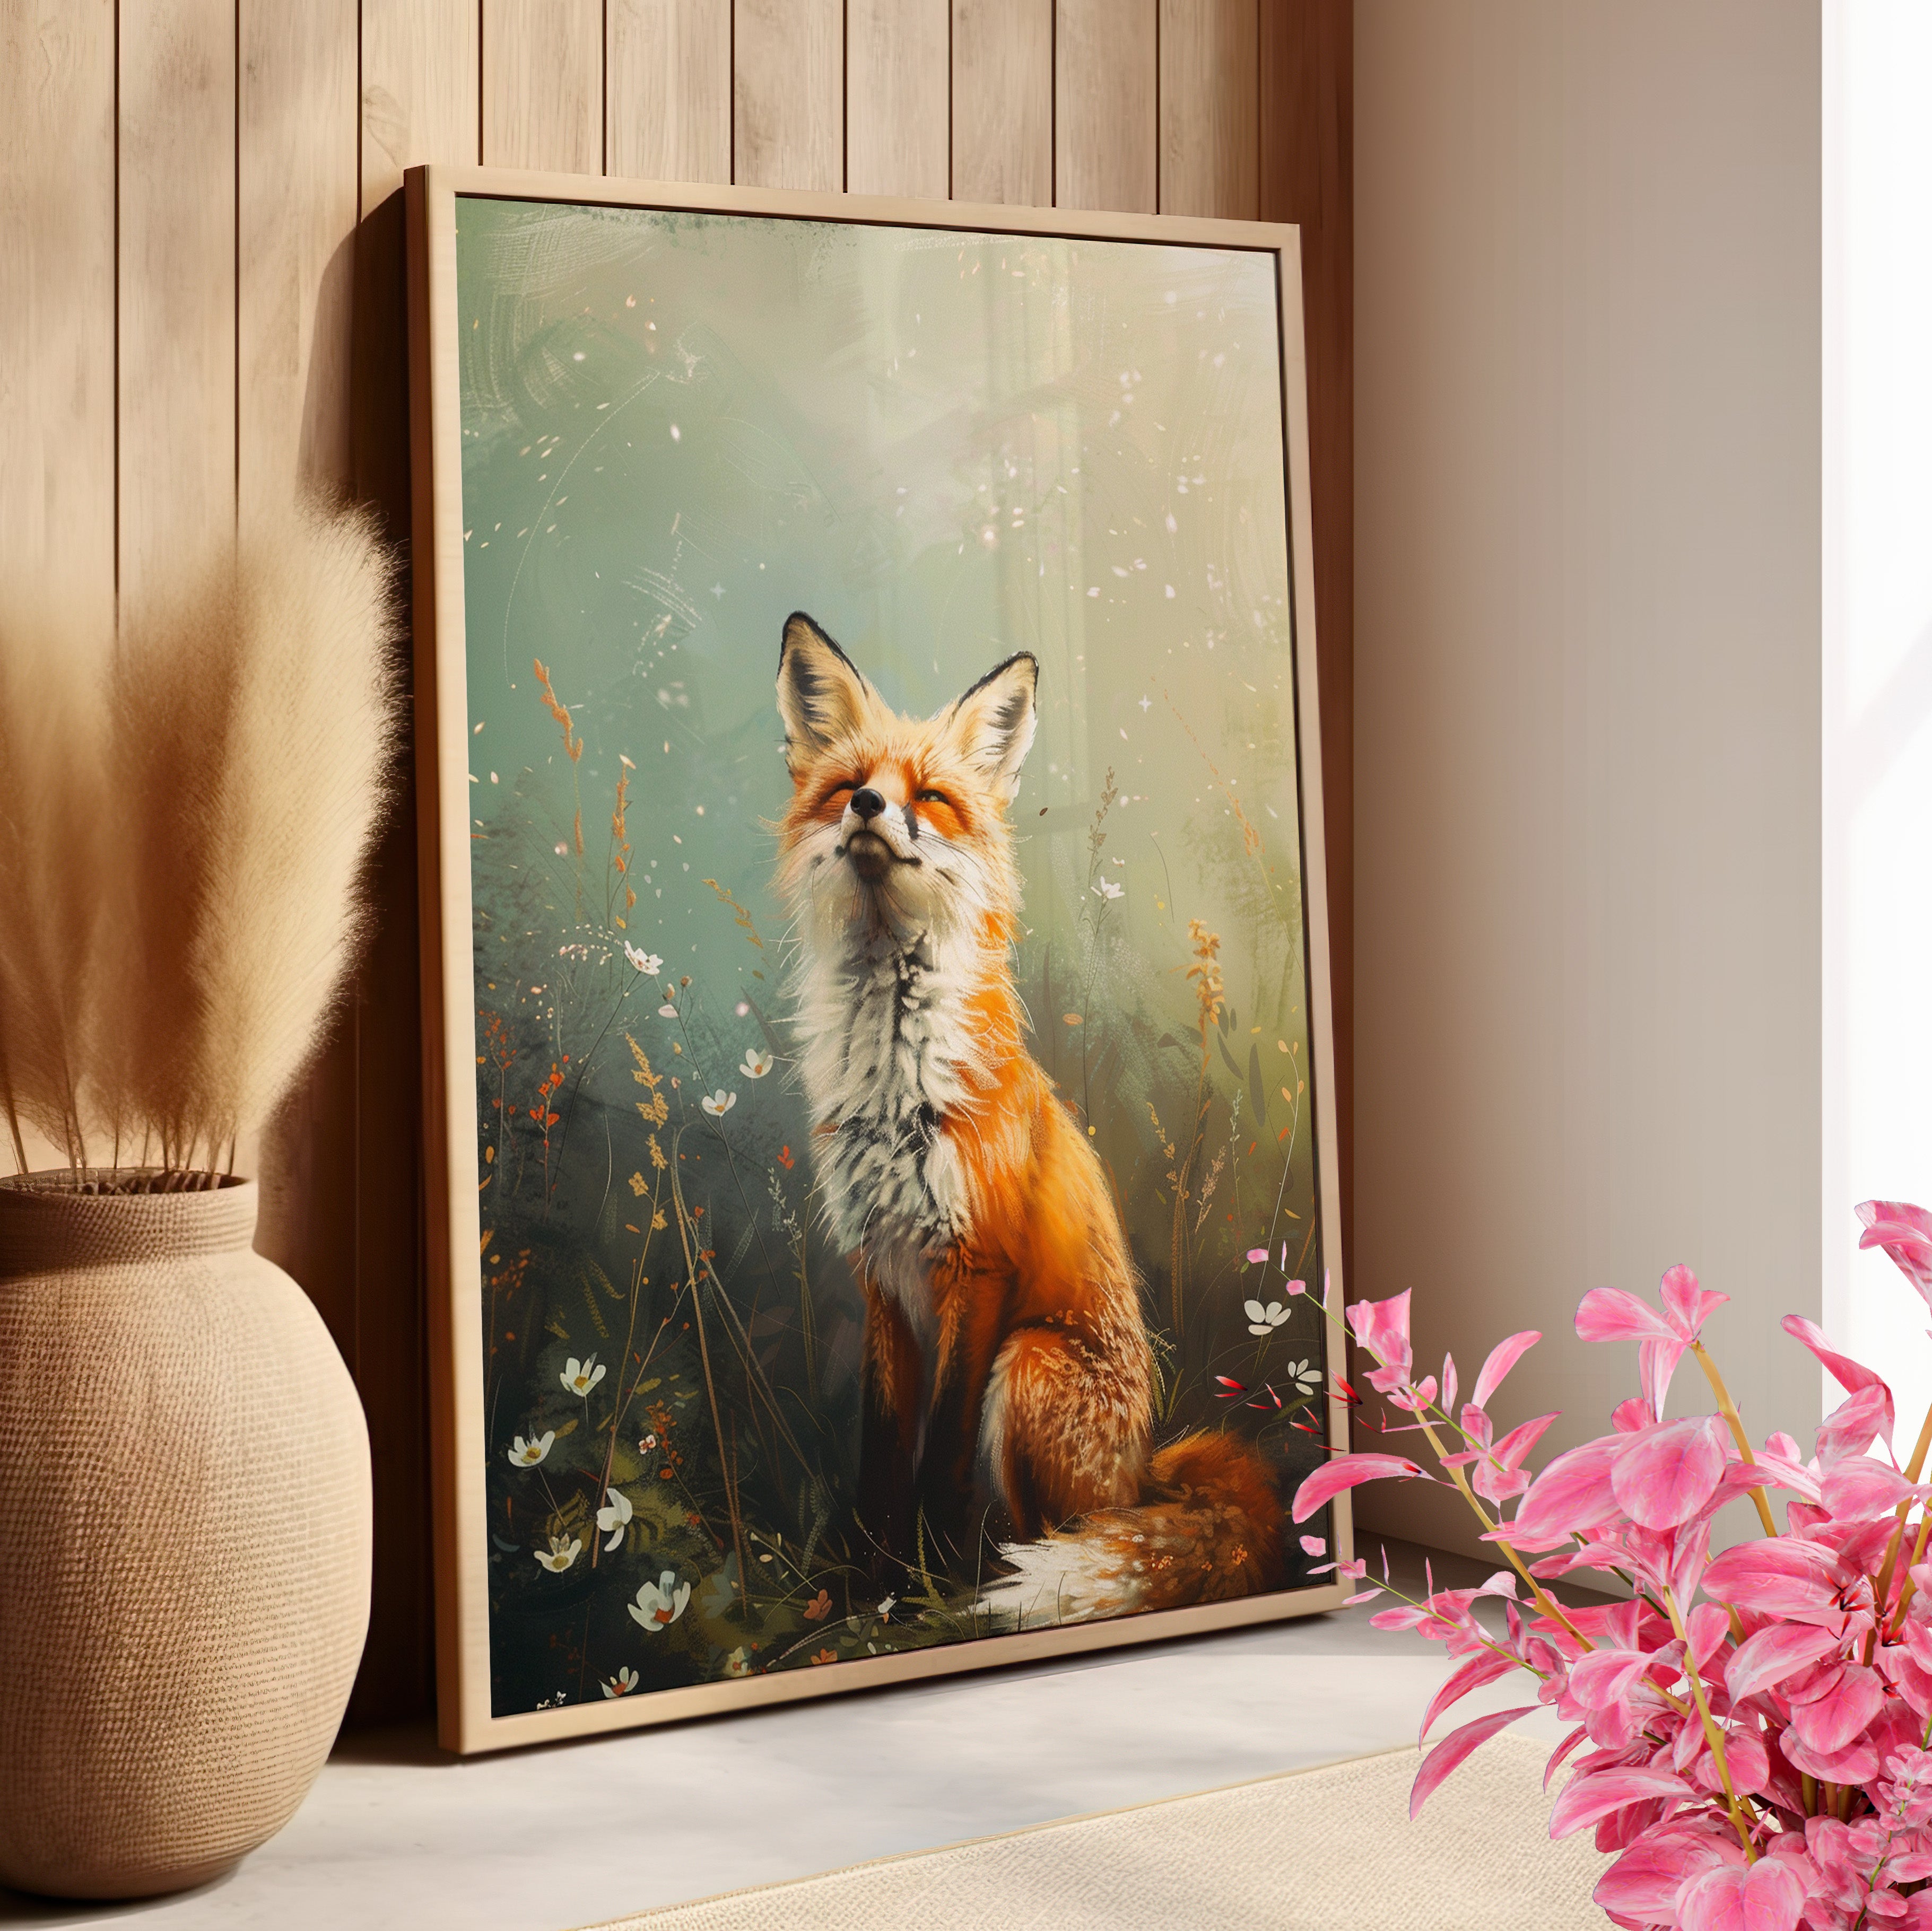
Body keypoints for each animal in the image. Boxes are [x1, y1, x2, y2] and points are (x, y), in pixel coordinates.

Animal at [772, 610, 1286, 1626]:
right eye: (850, 787)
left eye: (930, 798)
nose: (868, 810)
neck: (896, 1078)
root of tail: (1144, 1472)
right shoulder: (880, 1273)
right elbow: (880, 1452)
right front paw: (864, 1588)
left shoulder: (980, 1266)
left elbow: (936, 1459)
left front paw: (924, 1589)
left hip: (1030, 1361)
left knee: (1060, 1529)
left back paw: (1010, 1578)